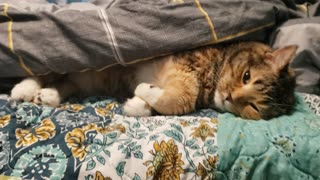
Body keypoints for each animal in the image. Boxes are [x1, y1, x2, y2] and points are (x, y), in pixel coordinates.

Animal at [11, 41, 298, 120]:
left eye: (254, 107)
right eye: (246, 76)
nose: (229, 98)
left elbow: (173, 100)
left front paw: (138, 103)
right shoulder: (185, 67)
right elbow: (183, 97)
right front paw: (142, 91)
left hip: (86, 79)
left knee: (65, 83)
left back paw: (48, 95)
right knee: (45, 72)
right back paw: (23, 89)